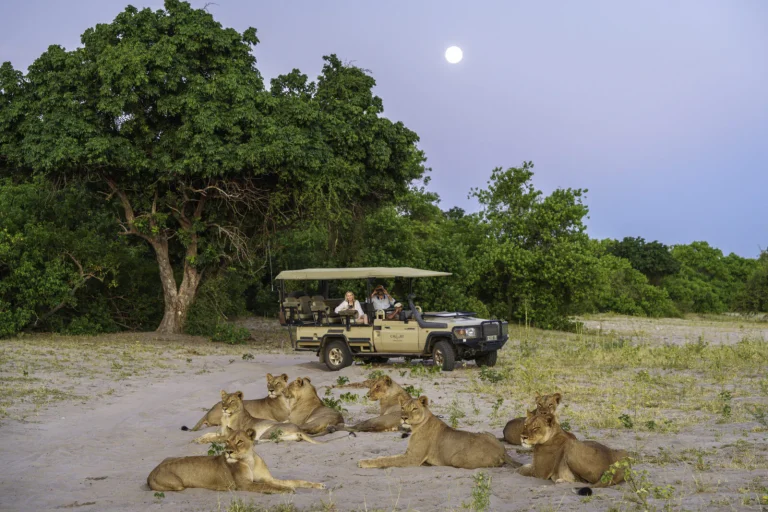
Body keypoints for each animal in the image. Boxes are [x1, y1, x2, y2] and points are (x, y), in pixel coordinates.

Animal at [148, 428, 325, 493]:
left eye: (239, 441)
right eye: (227, 441)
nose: (228, 451)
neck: (249, 460)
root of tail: (151, 473)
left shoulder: (267, 478)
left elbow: (294, 481)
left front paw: (318, 485)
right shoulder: (245, 485)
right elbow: (268, 486)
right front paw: (286, 490)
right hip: (177, 485)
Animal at [192, 390, 333, 445]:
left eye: (232, 401)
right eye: (223, 401)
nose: (224, 408)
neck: (226, 417)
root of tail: (298, 429)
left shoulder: (229, 436)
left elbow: (214, 439)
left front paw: (202, 441)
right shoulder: (222, 432)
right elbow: (209, 434)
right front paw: (198, 438)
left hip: (270, 430)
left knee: (266, 439)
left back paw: (254, 440)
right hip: (286, 436)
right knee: (279, 439)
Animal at [358, 395, 521, 469]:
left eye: (414, 409)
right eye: (403, 408)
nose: (403, 418)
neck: (416, 426)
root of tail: (503, 451)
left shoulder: (413, 458)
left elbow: (387, 460)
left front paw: (364, 462)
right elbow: (386, 457)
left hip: (457, 460)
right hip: (487, 432)